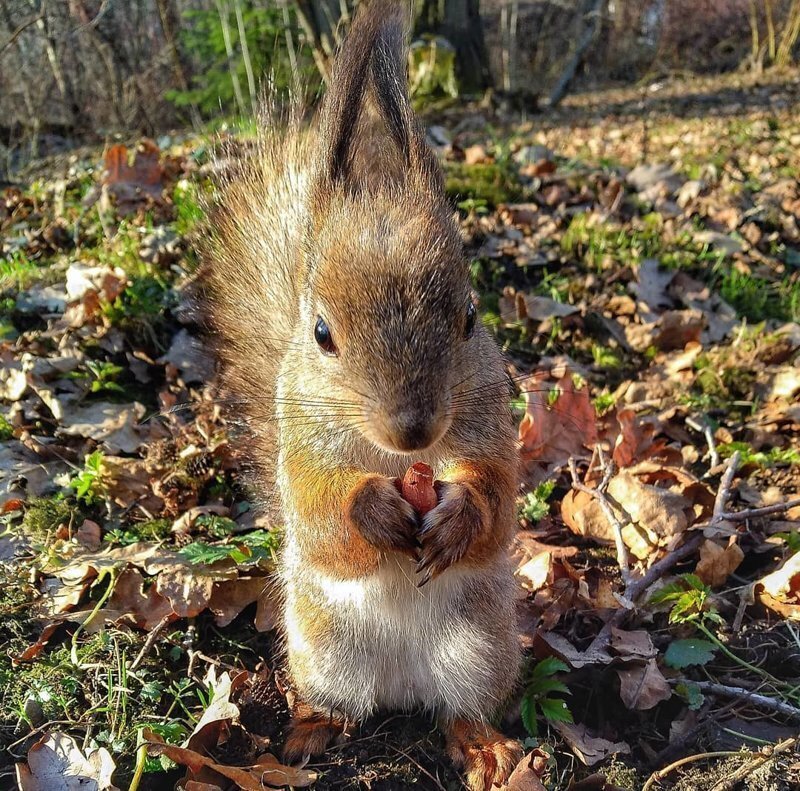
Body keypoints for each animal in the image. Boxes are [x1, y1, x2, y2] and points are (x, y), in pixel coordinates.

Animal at [200, 3, 520, 788]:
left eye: (471, 316)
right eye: (321, 332)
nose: (414, 432)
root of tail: (401, 685)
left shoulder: (494, 424)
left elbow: (497, 499)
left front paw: (459, 514)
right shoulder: (302, 442)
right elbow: (321, 514)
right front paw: (369, 508)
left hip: (481, 646)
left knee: (462, 707)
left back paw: (483, 744)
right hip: (325, 650)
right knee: (339, 703)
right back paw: (309, 732)